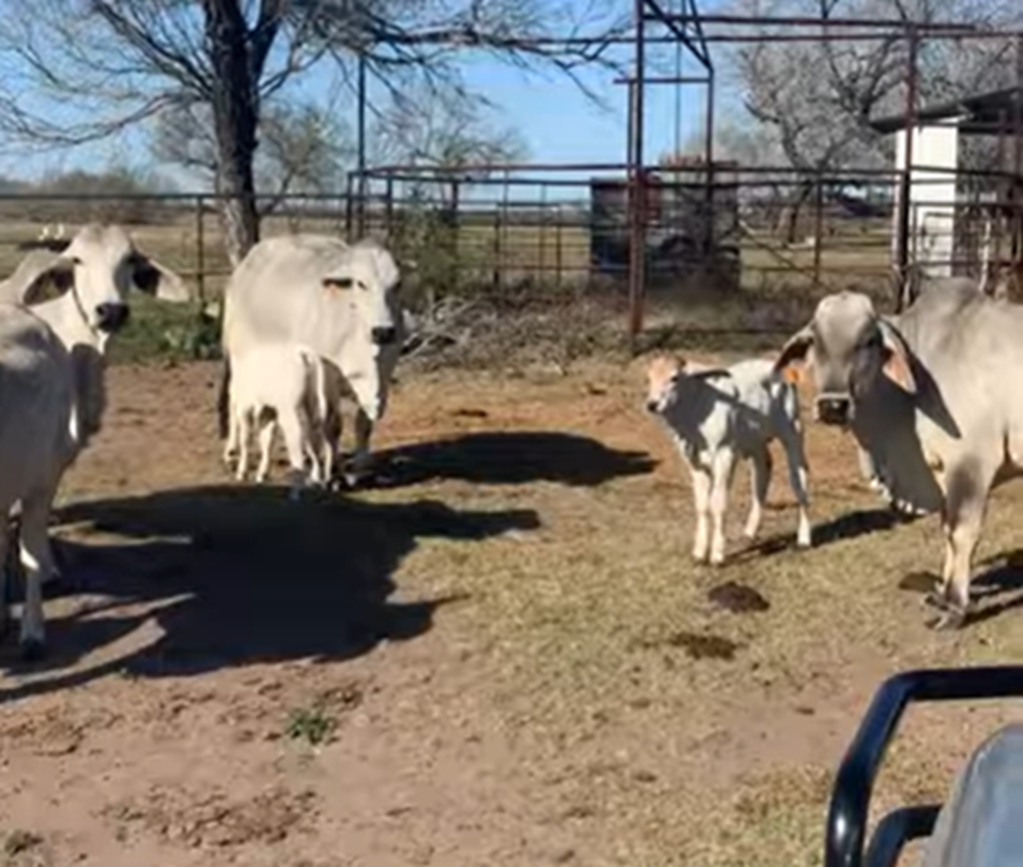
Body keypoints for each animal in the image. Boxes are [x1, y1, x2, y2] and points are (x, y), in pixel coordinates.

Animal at [217, 232, 405, 486]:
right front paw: (334, 473)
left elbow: (364, 424)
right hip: (241, 364)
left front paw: (358, 471)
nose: (383, 331)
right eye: (360, 283)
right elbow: (333, 425)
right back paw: (233, 452)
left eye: (397, 284)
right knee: (235, 403)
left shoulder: (383, 378)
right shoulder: (327, 378)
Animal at [642, 353, 810, 568]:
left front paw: (717, 555)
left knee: (799, 477)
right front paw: (698, 553)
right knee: (762, 468)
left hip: (793, 430)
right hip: (754, 439)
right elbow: (702, 504)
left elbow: (718, 503)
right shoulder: (695, 462)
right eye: (649, 378)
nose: (652, 404)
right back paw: (749, 532)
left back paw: (804, 539)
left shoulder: (724, 454)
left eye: (674, 378)